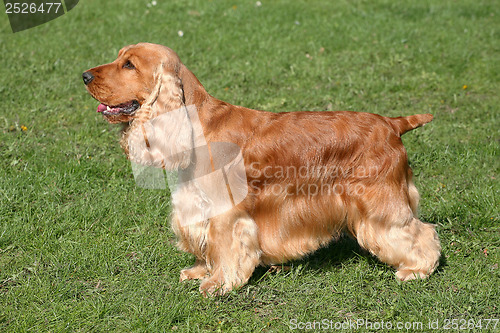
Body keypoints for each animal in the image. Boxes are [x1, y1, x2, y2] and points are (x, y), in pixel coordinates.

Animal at [83, 42, 442, 294]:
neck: (195, 124)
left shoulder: (227, 211)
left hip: (379, 199)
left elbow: (226, 247)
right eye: (119, 57)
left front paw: (218, 284)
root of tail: (392, 123)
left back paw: (417, 270)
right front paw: (199, 270)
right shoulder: (195, 205)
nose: (84, 76)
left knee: (418, 231)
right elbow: (204, 243)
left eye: (128, 64)